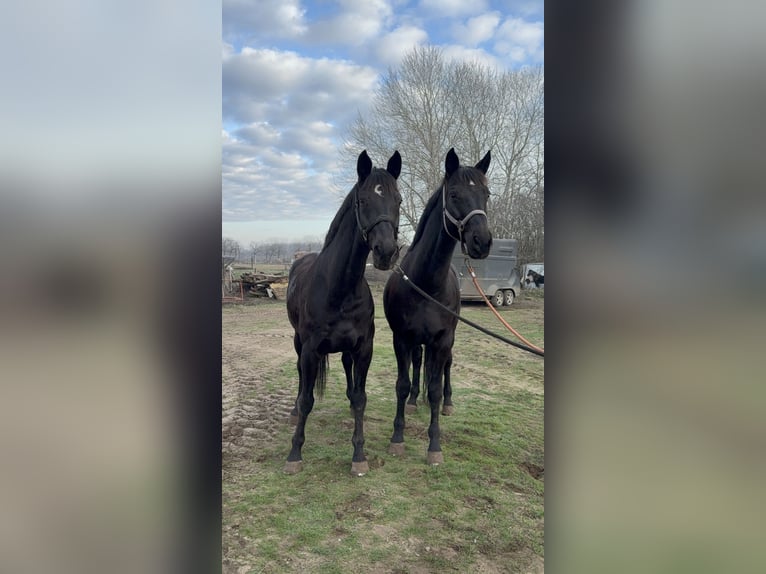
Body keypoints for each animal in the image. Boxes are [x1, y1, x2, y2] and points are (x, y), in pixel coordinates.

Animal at [284, 150, 402, 476]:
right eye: (363, 200)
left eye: (398, 200)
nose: (386, 252)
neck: (339, 288)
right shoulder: (310, 350)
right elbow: (308, 398)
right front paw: (294, 453)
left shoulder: (363, 348)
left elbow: (361, 398)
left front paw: (359, 455)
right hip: (298, 343)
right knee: (300, 377)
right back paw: (294, 410)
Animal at [383, 148, 493, 464]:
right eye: (454, 194)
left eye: (487, 194)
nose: (482, 241)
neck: (427, 283)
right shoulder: (401, 338)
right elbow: (402, 383)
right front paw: (398, 437)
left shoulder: (442, 340)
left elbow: (433, 388)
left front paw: (434, 446)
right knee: (420, 364)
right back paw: (412, 401)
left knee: (444, 367)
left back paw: (448, 402)